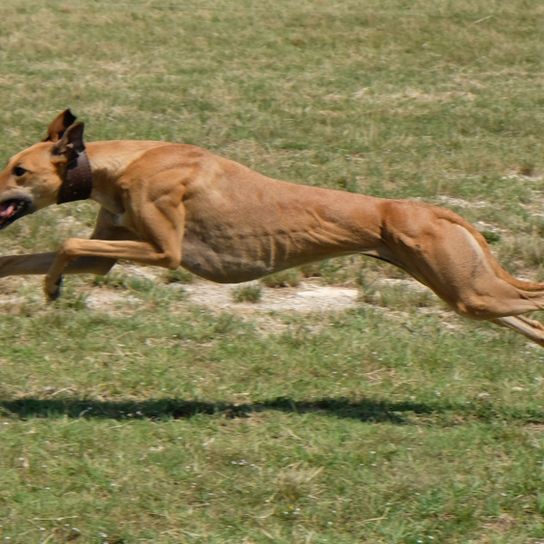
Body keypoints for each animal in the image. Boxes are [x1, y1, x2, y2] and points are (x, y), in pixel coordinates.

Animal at [0, 111, 544, 346]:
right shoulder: (106, 253)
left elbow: (67, 242)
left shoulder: (165, 251)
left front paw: (51, 286)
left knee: (535, 303)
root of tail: (434, 211)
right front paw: (40, 280)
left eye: (19, 170)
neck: (122, 163)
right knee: (528, 319)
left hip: (469, 291)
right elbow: (39, 256)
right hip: (468, 293)